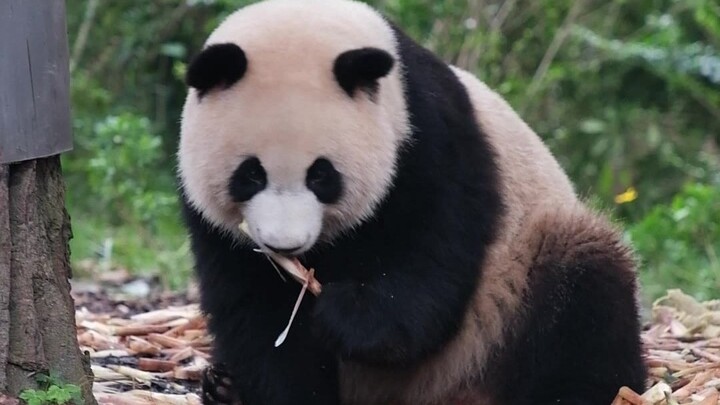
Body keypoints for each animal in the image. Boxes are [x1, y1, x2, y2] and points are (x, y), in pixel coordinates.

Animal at [177, 0, 648, 404]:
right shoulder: (214, 222)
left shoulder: (427, 137)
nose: (284, 245)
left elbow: (430, 266)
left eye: (321, 175)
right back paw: (225, 388)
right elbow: (257, 311)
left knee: (584, 290)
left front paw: (344, 314)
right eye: (251, 174)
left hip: (514, 293)